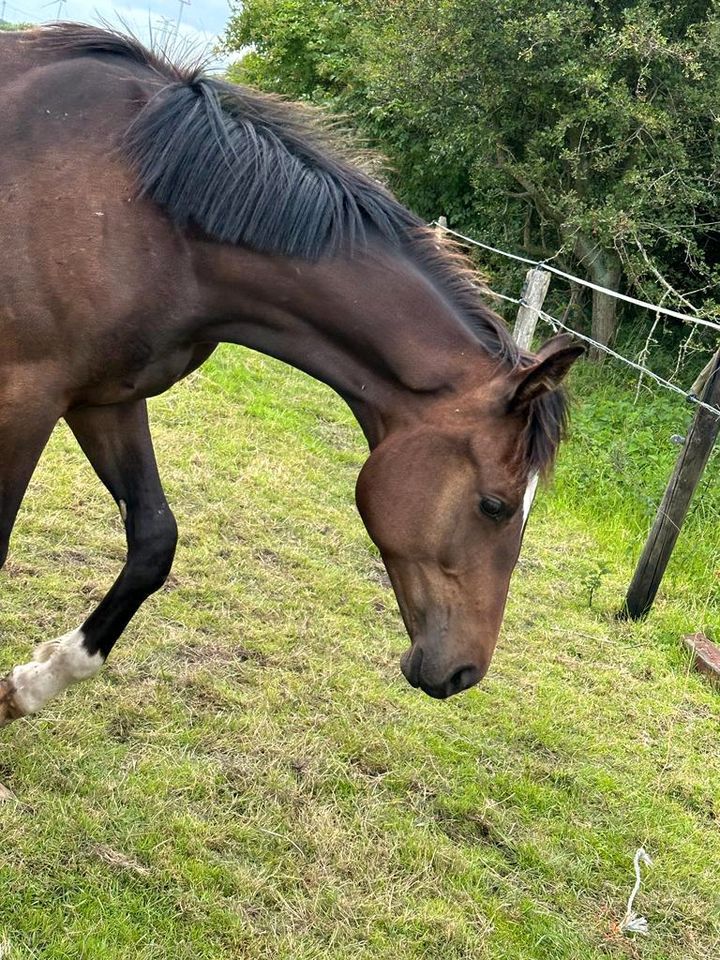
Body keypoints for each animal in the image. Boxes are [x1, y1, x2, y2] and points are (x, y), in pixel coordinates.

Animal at [0, 24, 580, 728]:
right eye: (494, 506)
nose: (464, 673)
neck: (143, 216)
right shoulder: (26, 397)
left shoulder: (104, 397)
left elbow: (154, 541)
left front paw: (32, 684)